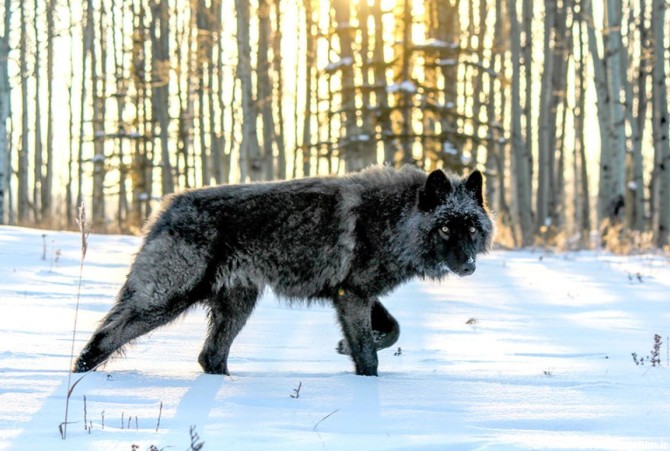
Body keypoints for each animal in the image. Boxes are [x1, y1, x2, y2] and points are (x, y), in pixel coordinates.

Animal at [75, 167, 494, 378]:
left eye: (472, 228)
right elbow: (369, 356)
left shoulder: (353, 294)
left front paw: (348, 347)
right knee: (105, 337)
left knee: (209, 356)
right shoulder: (353, 296)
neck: (394, 219)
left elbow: (392, 330)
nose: (468, 265)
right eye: (445, 227)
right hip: (165, 300)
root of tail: (169, 205)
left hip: (237, 305)